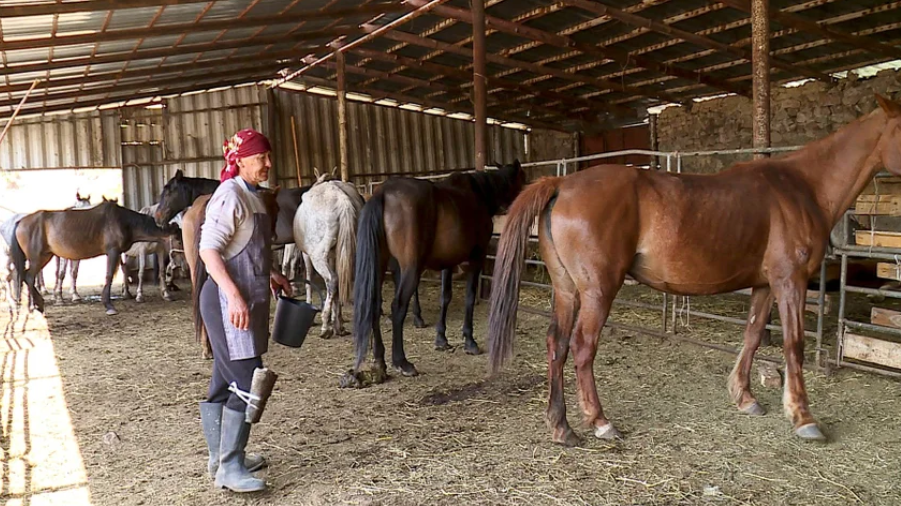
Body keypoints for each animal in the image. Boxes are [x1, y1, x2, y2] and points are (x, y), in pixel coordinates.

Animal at [10, 200, 176, 315]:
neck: (122, 221)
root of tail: (20, 222)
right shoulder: (113, 251)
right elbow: (109, 276)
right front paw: (109, 306)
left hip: (44, 257)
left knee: (25, 276)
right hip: (37, 258)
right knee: (29, 277)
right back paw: (38, 305)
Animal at [292, 170, 365, 339]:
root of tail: (341, 198)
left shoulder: (307, 255)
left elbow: (309, 277)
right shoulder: (334, 257)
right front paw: (337, 319)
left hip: (317, 256)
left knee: (332, 280)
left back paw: (326, 326)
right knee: (341, 280)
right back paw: (338, 325)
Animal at [347, 160, 526, 386]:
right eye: (524, 180)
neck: (479, 193)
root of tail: (383, 193)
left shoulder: (448, 262)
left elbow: (445, 297)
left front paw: (442, 339)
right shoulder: (477, 257)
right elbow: (469, 297)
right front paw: (469, 341)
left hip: (379, 266)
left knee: (374, 305)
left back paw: (380, 360)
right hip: (410, 268)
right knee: (398, 307)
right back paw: (402, 362)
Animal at [486, 94, 901, 446]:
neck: (801, 188)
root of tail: (562, 182)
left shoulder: (766, 285)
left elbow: (752, 336)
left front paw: (745, 396)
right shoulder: (791, 282)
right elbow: (793, 344)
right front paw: (803, 417)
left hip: (567, 290)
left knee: (556, 345)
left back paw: (562, 426)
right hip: (598, 291)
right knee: (582, 348)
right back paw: (600, 422)